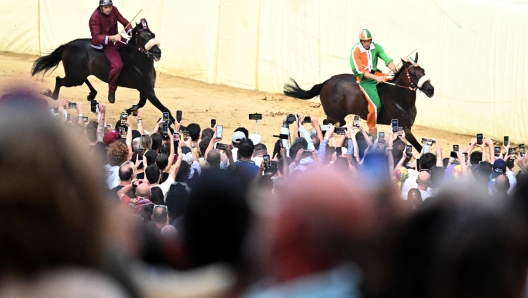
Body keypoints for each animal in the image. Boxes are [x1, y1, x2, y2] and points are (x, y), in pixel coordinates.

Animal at [284, 51, 434, 151]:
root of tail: (327, 82)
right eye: (413, 73)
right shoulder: (406, 128)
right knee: (326, 124)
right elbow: (419, 148)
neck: (398, 97)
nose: (430, 89)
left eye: (423, 70)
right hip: (333, 115)